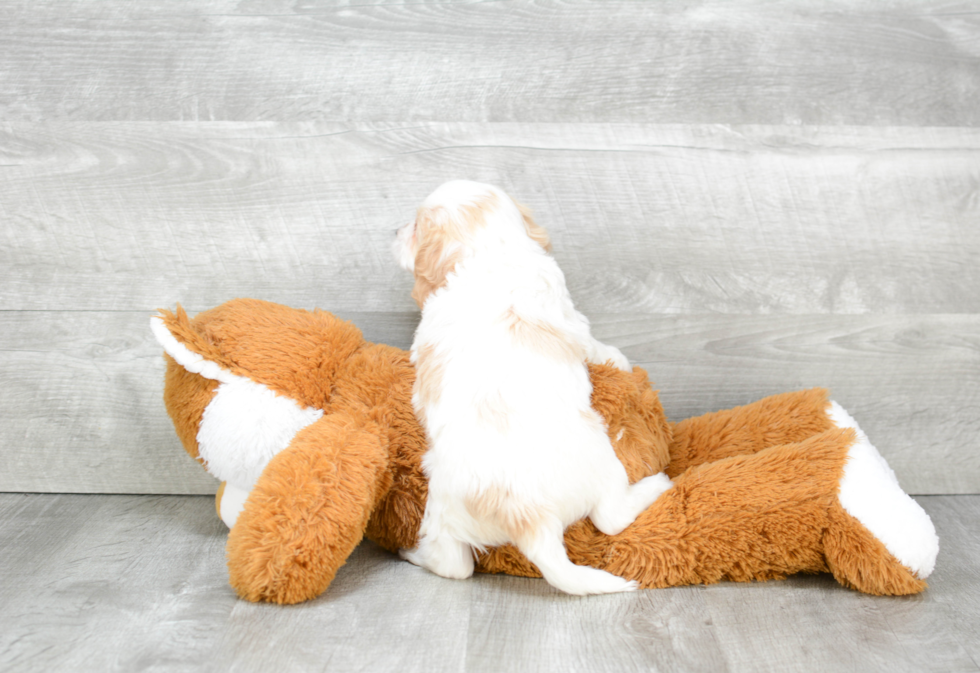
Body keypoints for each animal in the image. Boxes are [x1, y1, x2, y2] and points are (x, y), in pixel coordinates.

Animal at [394, 178, 668, 592]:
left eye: (413, 226)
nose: (395, 231)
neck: (491, 252)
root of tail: (529, 518)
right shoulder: (574, 320)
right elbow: (595, 344)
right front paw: (618, 359)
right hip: (605, 466)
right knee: (611, 516)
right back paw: (658, 484)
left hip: (444, 512)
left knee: (454, 566)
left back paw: (412, 554)